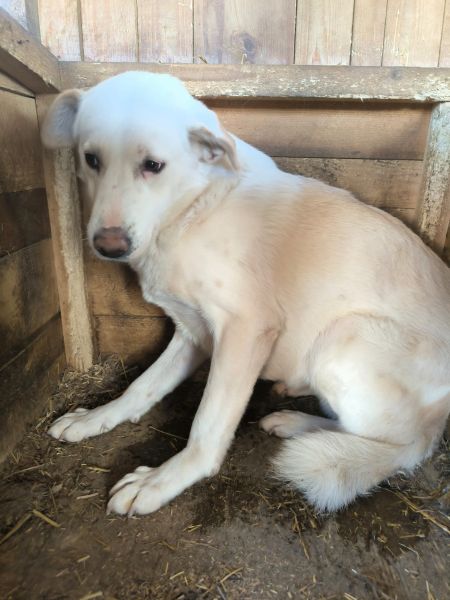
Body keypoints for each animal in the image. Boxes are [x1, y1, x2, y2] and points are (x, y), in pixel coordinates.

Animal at [42, 72, 450, 516]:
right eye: (91, 159)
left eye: (153, 165)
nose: (109, 245)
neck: (192, 212)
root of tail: (438, 426)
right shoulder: (193, 333)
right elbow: (141, 386)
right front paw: (96, 417)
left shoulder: (246, 329)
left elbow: (207, 423)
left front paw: (164, 479)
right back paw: (294, 409)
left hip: (344, 338)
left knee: (392, 442)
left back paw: (302, 425)